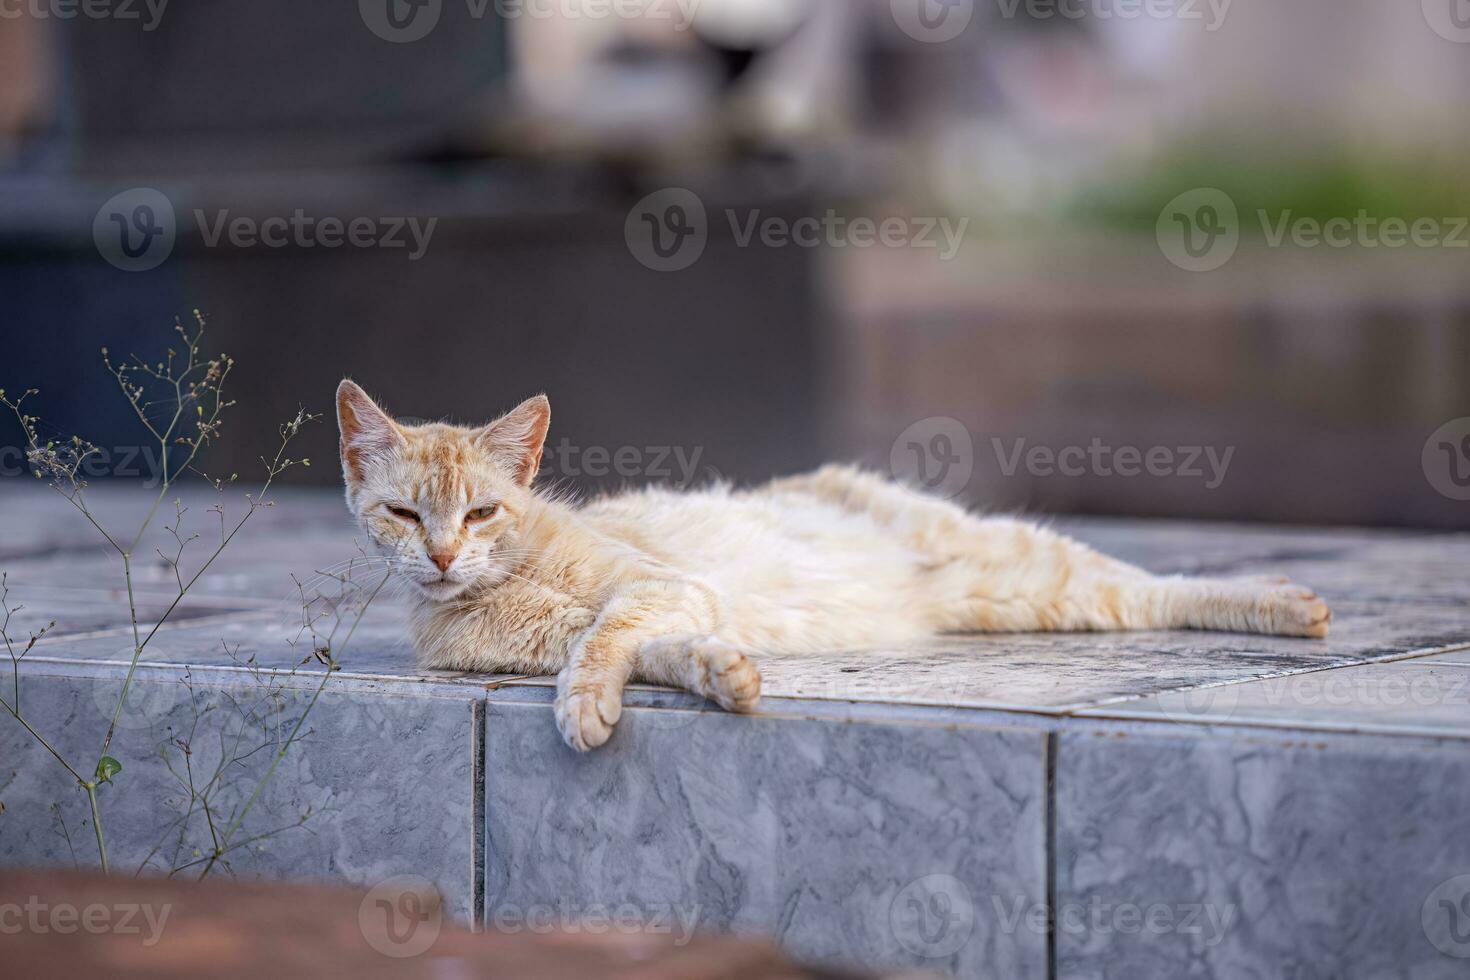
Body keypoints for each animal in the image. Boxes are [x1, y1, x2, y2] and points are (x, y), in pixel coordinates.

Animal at [338, 382, 1340, 752]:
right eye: (404, 515)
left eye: (480, 512)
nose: (440, 553)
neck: (508, 581)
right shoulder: (665, 616)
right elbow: (651, 652)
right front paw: (725, 676)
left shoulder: (659, 588)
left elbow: (604, 640)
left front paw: (583, 708)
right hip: (1025, 595)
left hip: (1032, 562)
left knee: (1158, 586)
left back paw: (1287, 603)